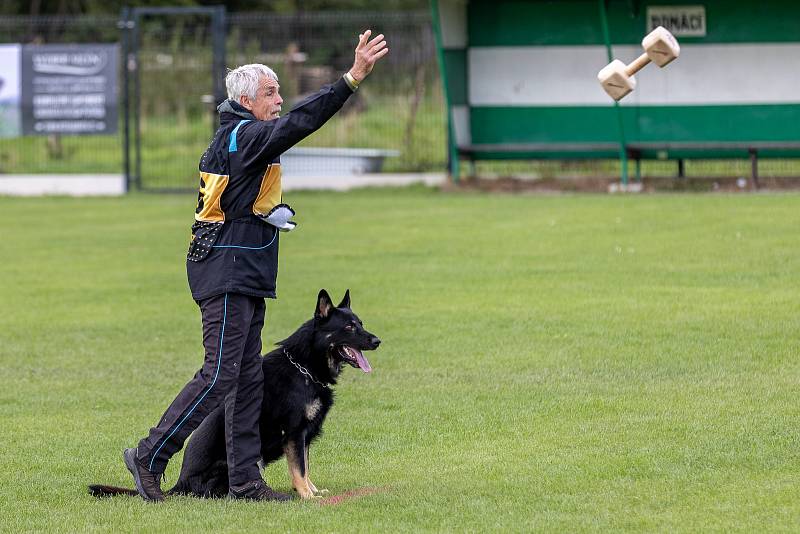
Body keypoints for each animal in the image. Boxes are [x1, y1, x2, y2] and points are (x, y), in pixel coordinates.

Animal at [92, 292, 380, 500]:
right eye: (349, 327)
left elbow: (305, 467)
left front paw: (313, 490)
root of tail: (180, 483)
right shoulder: (295, 433)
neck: (305, 366)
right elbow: (299, 469)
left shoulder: (305, 436)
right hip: (245, 462)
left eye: (360, 324)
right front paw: (307, 496)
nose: (378, 341)